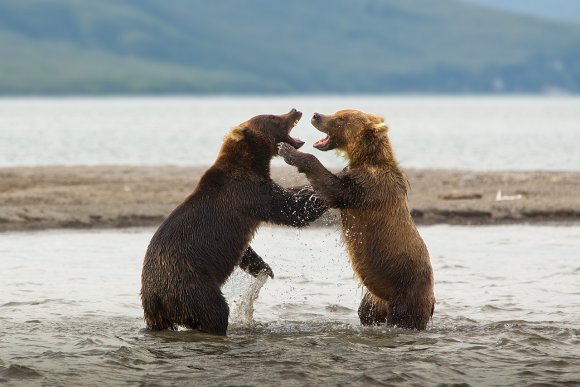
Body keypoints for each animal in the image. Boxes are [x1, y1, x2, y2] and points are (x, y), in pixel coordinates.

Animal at [140, 110, 326, 336]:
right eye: (273, 117)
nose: (294, 110)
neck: (251, 163)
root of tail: (156, 297)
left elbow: (246, 250)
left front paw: (264, 267)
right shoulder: (248, 193)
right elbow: (291, 208)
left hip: (156, 309)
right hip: (190, 284)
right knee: (214, 311)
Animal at [278, 109, 436, 330]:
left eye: (341, 118)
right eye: (337, 112)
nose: (316, 115)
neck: (365, 159)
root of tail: (432, 300)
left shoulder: (368, 187)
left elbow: (332, 189)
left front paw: (288, 151)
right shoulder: (349, 175)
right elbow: (315, 194)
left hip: (406, 290)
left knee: (403, 318)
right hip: (374, 298)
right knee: (365, 312)